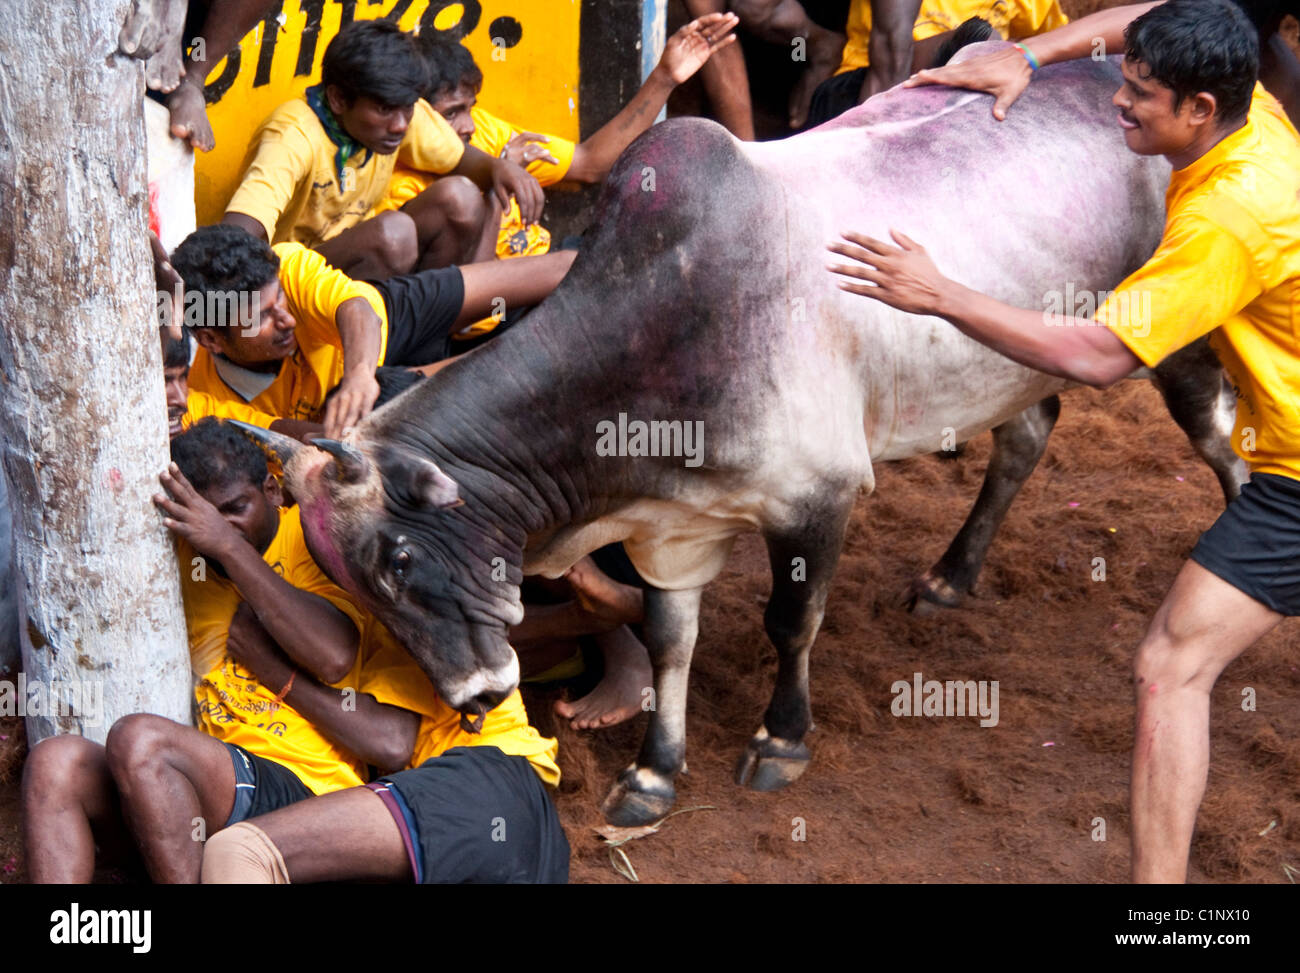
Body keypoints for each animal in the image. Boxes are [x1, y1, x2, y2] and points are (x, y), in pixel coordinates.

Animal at [237, 47, 1240, 826]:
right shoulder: (671, 529)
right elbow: (670, 637)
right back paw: (951, 575)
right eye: (346, 579)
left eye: (399, 558)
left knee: (1218, 438)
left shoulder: (817, 497)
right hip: (1001, 366)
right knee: (1029, 435)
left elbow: (790, 621)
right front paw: (653, 772)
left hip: (1172, 336)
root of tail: (1118, 81)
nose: (476, 696)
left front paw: (781, 740)